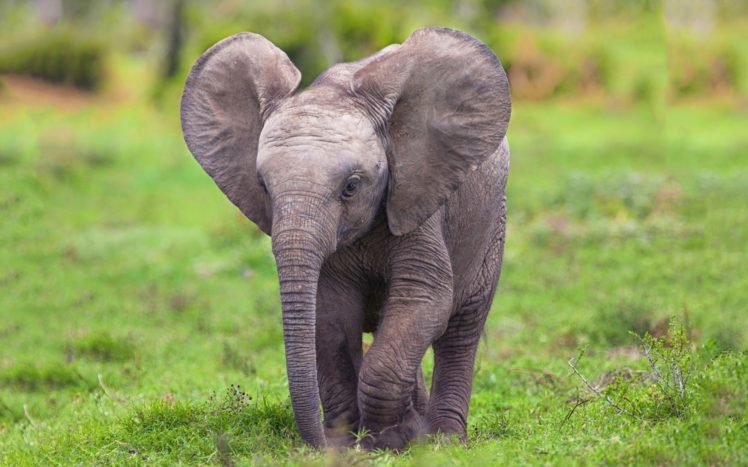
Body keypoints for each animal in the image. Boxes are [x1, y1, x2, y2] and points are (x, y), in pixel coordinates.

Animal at [180, 27, 511, 450]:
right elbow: (331, 315)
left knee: (461, 328)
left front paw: (387, 440)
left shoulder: (418, 203)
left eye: (351, 187)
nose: (321, 441)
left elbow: (424, 299)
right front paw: (354, 441)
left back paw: (445, 439)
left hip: (492, 223)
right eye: (263, 187)